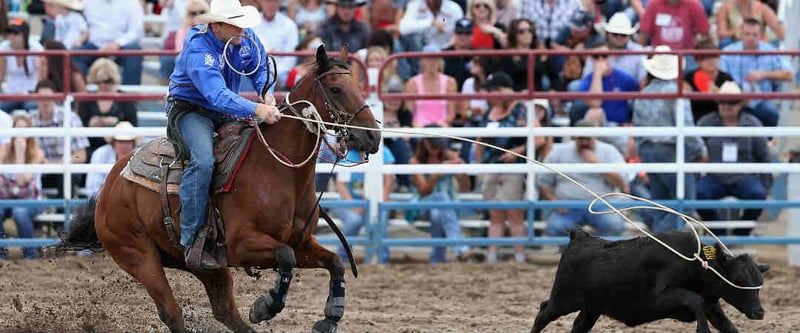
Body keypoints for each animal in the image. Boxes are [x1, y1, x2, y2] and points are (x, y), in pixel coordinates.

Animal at [57, 44, 382, 332]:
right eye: (336, 89)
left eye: (358, 85)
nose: (373, 137)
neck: (279, 173)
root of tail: (111, 184)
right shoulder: (243, 244)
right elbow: (285, 257)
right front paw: (264, 306)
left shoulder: (301, 241)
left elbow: (335, 261)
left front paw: (329, 318)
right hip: (138, 256)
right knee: (172, 312)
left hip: (201, 264)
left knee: (225, 312)